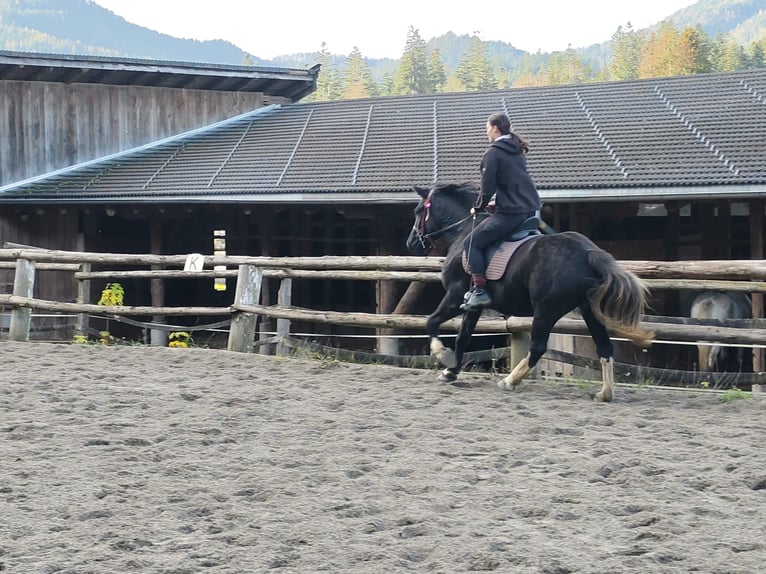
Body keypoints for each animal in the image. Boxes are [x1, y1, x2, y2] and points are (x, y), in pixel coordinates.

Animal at [408, 182, 656, 402]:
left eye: (418, 210)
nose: (412, 243)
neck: (464, 230)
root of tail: (588, 253)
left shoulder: (455, 295)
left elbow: (431, 322)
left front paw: (442, 355)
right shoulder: (473, 306)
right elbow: (463, 337)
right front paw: (451, 372)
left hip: (546, 311)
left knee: (537, 347)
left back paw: (509, 381)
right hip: (589, 311)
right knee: (604, 347)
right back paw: (604, 394)